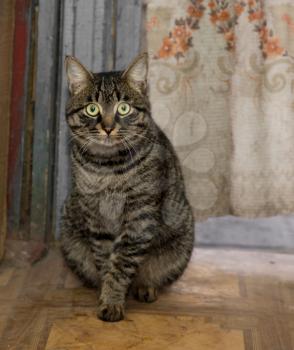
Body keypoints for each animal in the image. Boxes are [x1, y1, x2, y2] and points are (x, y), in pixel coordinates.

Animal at [60, 52, 194, 322]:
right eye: (92, 109)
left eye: (123, 107)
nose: (108, 127)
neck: (107, 167)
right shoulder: (94, 214)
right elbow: (105, 260)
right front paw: (107, 294)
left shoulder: (139, 215)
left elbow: (122, 264)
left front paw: (112, 301)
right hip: (69, 229)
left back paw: (145, 287)